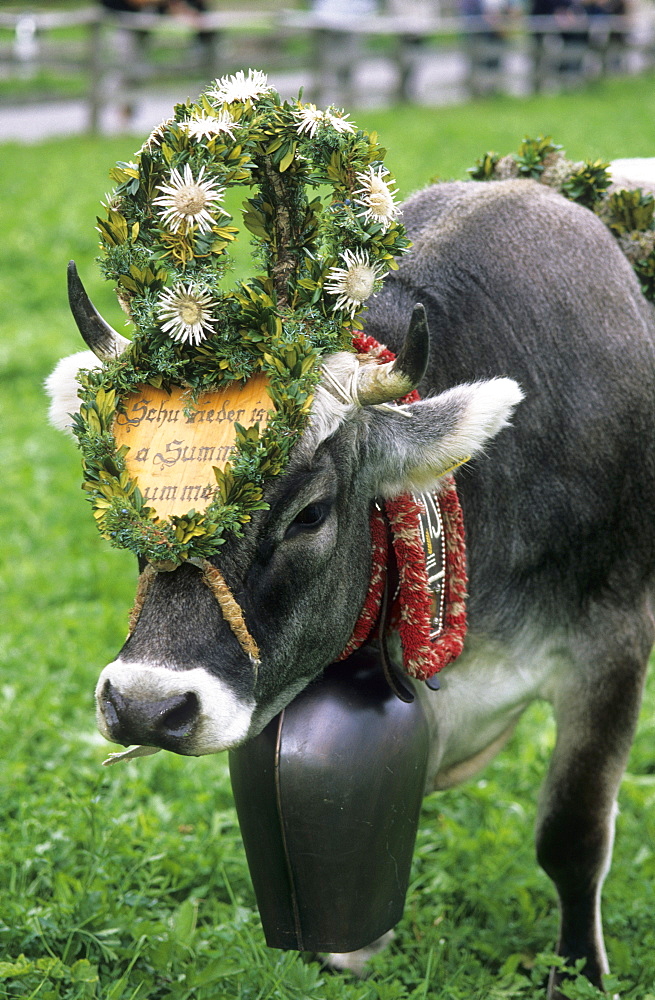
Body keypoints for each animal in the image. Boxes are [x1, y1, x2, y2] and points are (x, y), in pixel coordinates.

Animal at [44, 176, 655, 996]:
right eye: (124, 500)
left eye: (309, 514)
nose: (145, 707)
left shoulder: (612, 645)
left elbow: (572, 835)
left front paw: (581, 971)